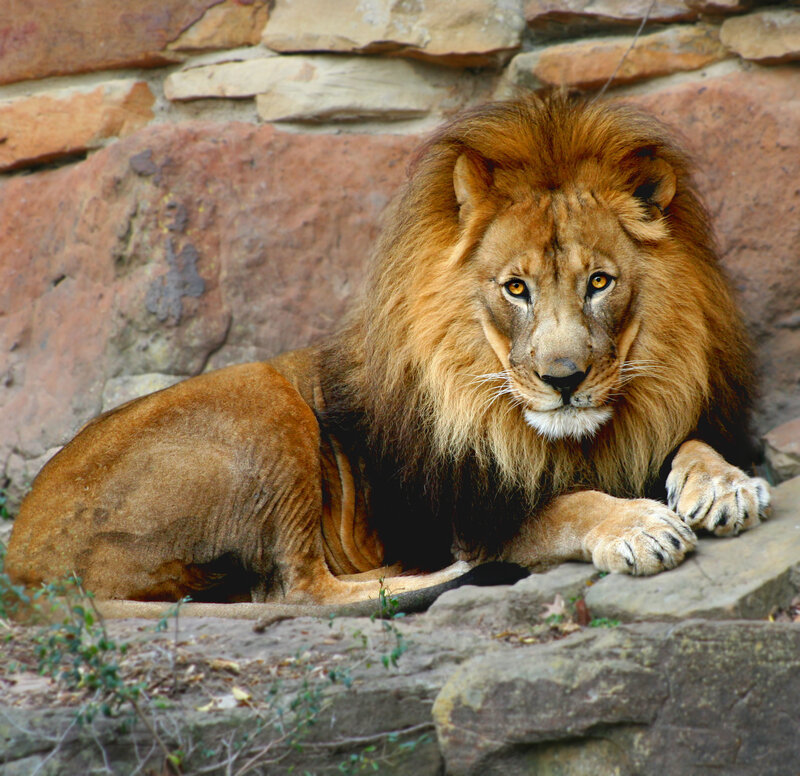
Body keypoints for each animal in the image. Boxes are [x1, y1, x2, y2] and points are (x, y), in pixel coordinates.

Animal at [5, 92, 770, 618]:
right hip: (262, 396)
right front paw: (637, 525)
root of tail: (22, 573)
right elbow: (567, 506)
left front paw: (726, 485)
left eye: (600, 283)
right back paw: (433, 578)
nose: (563, 380)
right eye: (516, 288)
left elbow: (692, 441)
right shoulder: (467, 513)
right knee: (295, 590)